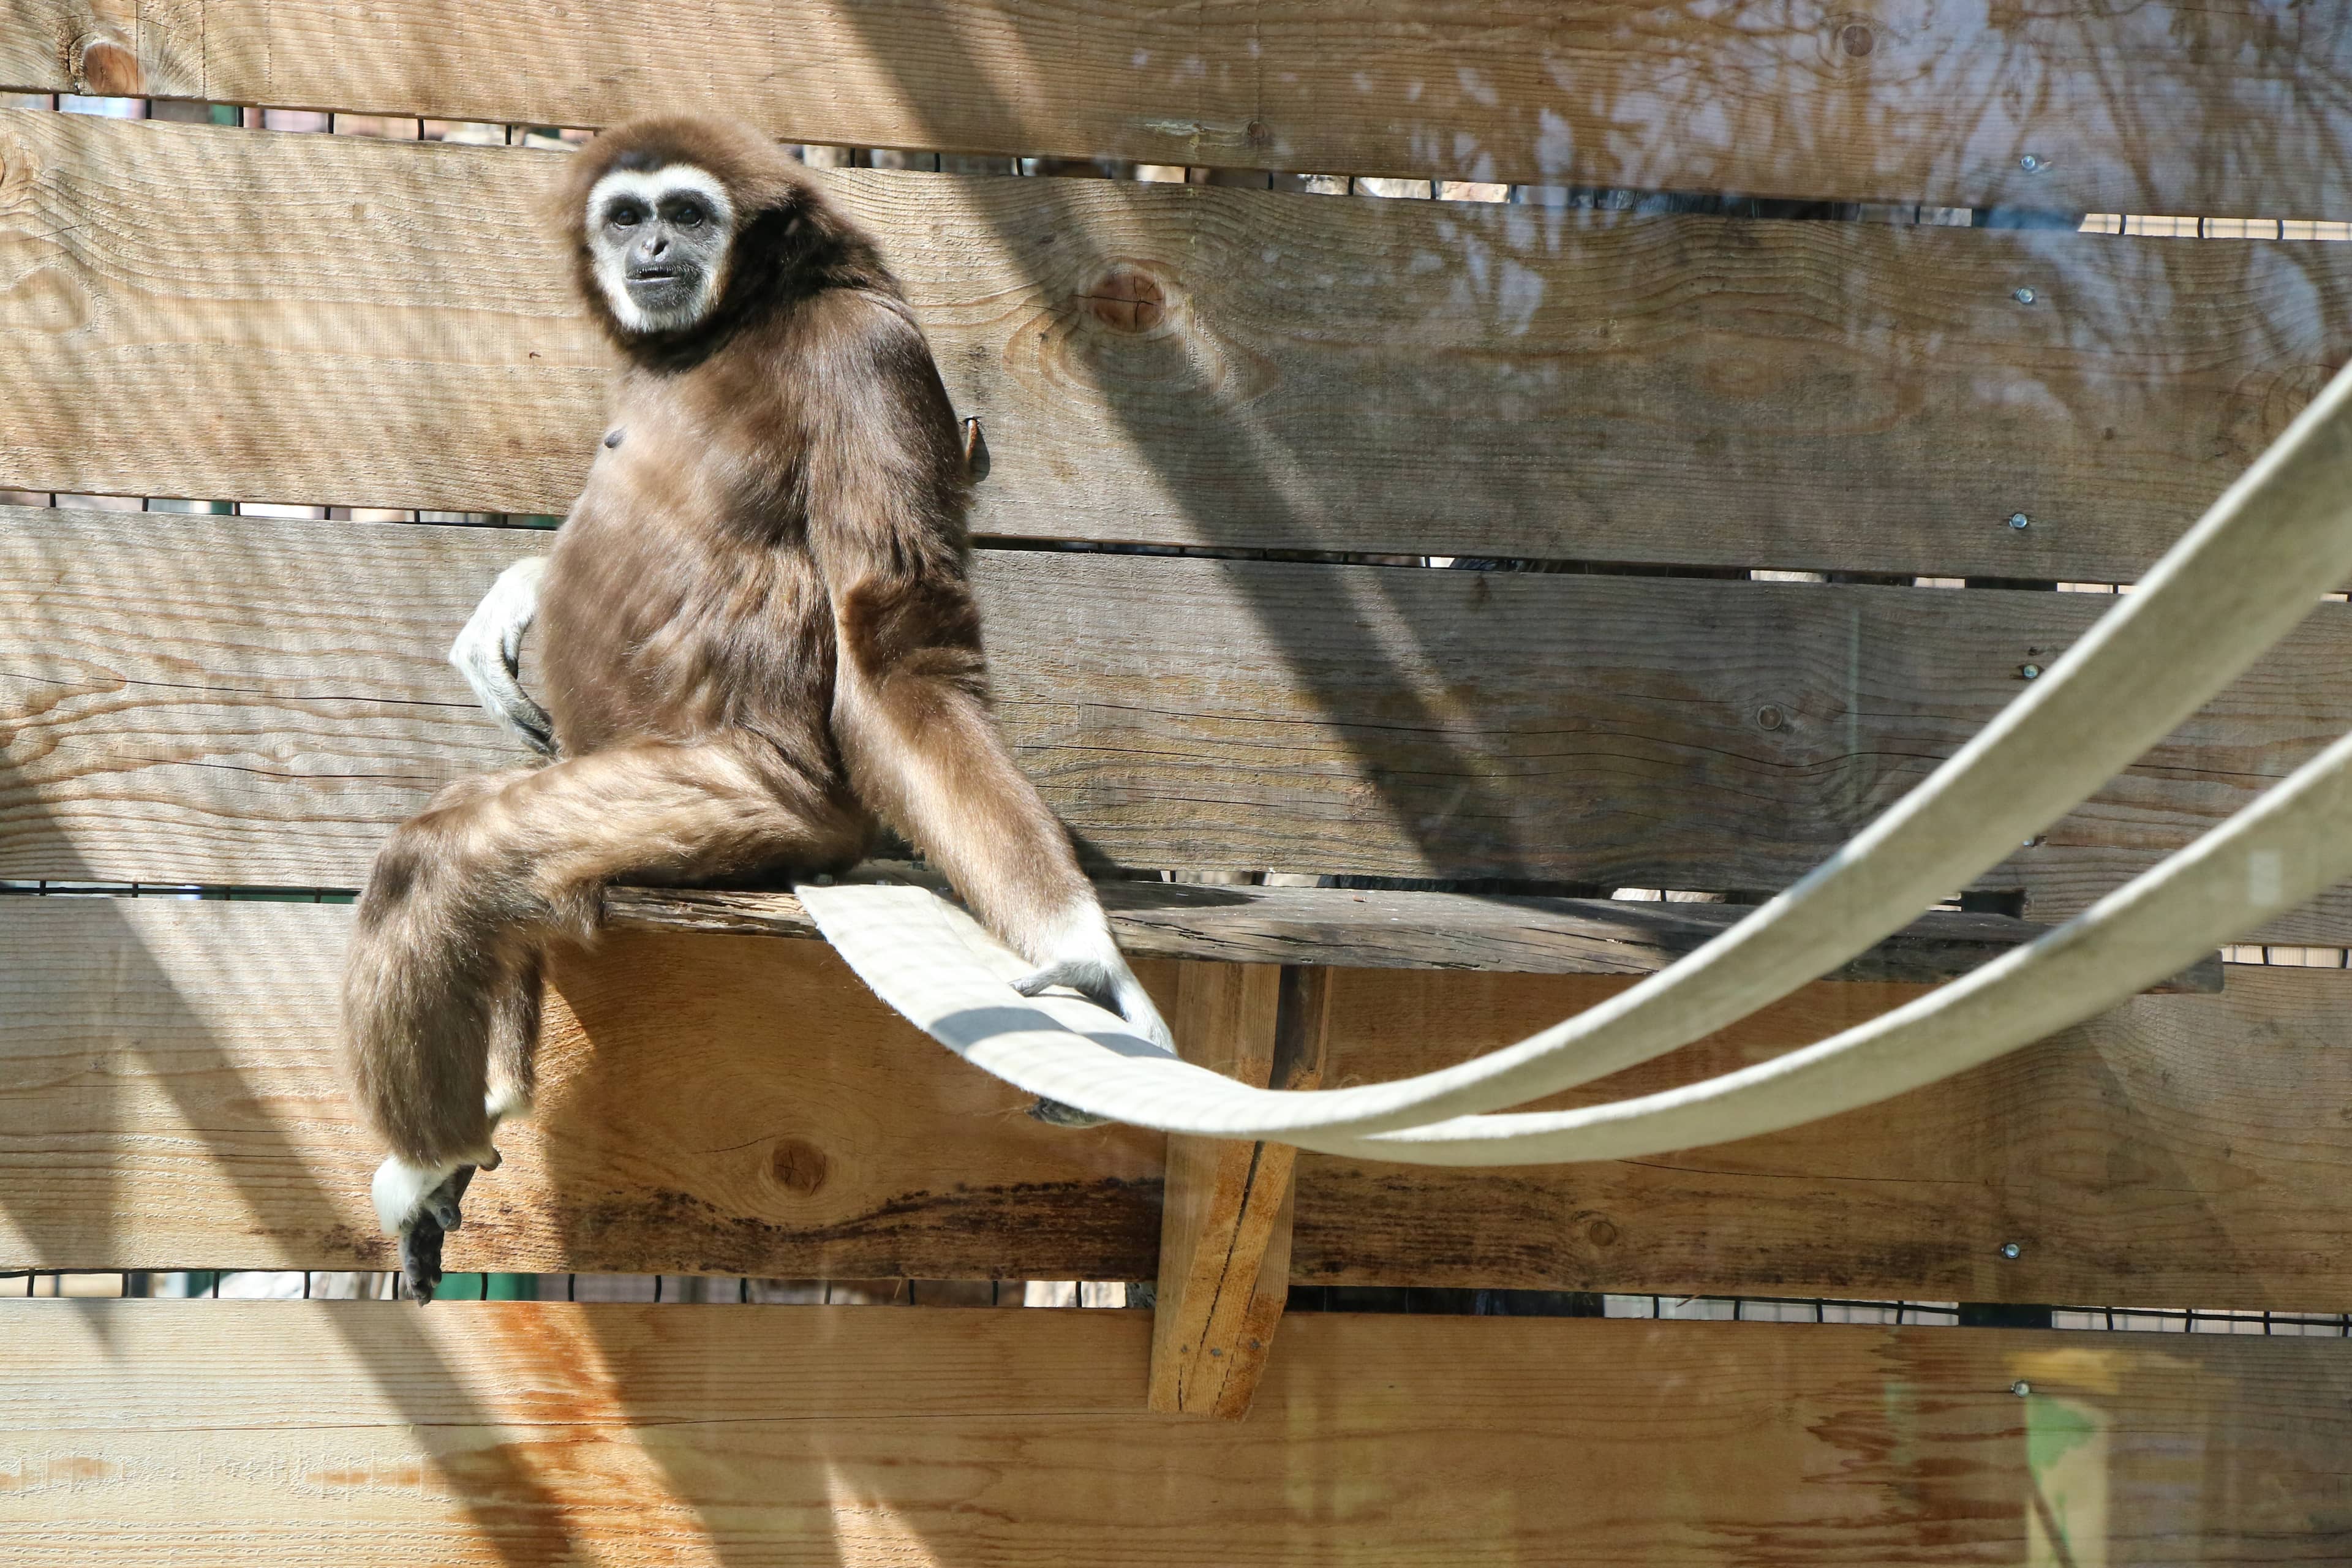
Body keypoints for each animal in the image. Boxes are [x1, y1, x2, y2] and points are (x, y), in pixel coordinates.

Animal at [346, 114, 1173, 1301]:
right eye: (626, 218)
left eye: (687, 213)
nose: (652, 251)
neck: (746, 321)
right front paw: (516, 592)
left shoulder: (866, 351)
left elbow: (897, 655)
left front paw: (1082, 950)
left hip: (751, 797)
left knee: (450, 858)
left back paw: (429, 1154)